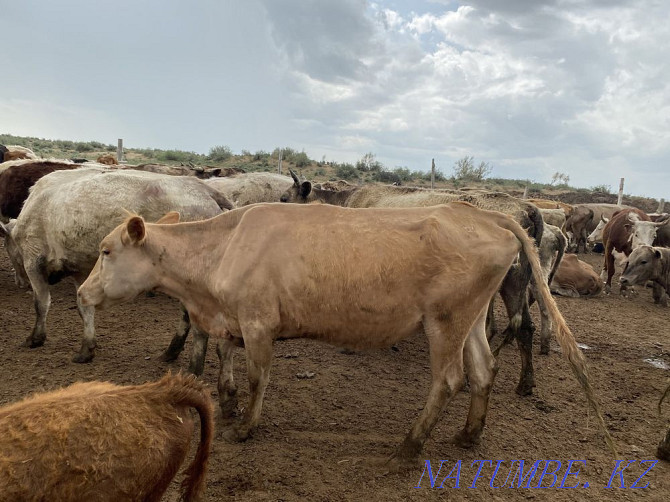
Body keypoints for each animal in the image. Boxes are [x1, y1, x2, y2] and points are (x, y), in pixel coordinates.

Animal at [77, 202, 616, 460]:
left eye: (106, 251)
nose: (82, 293)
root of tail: (484, 214)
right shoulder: (231, 321)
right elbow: (224, 366)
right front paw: (225, 405)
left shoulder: (259, 323)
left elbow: (256, 379)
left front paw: (245, 426)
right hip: (471, 319)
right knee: (484, 371)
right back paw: (467, 436)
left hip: (445, 321)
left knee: (449, 380)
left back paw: (409, 447)